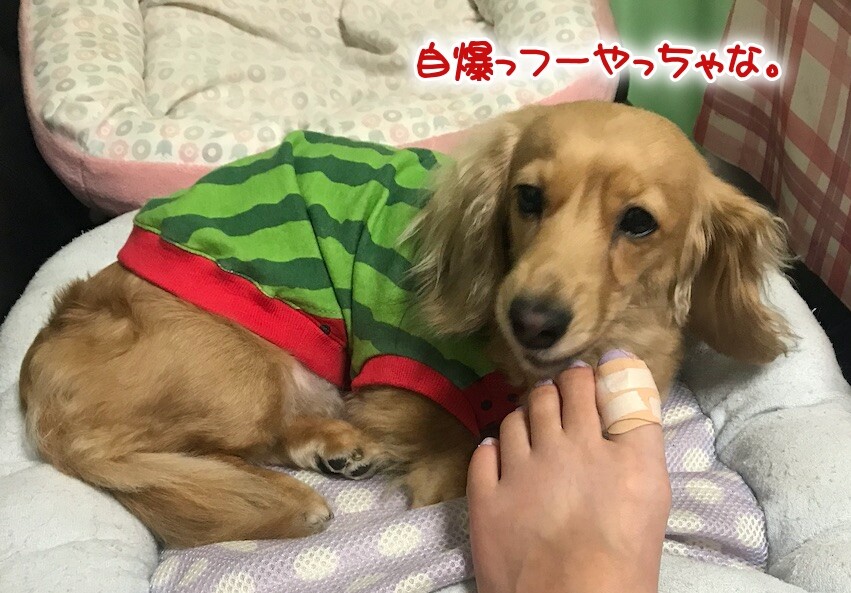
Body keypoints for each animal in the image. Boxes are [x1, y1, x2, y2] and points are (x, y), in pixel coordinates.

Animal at [19, 101, 790, 548]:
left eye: (638, 223)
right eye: (527, 197)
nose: (531, 320)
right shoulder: (404, 380)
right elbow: (454, 449)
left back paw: (332, 447)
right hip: (237, 371)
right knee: (142, 449)